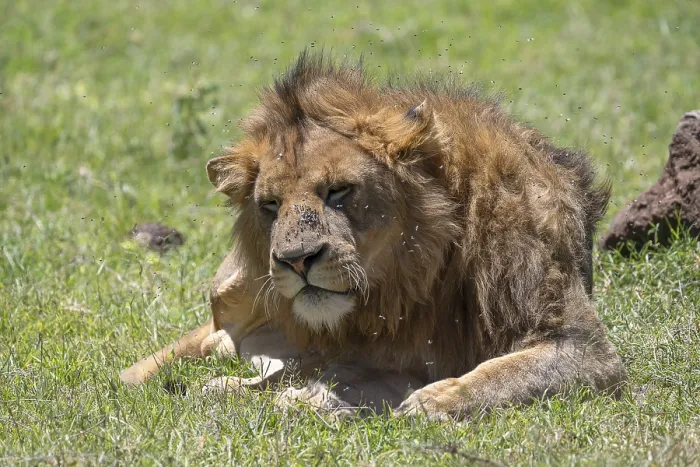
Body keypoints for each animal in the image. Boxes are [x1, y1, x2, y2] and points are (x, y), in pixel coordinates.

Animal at [120, 51, 627, 420]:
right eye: (271, 205)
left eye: (339, 191)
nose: (296, 259)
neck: (415, 276)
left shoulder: (582, 347)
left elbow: (498, 374)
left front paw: (435, 400)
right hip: (234, 289)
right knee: (218, 343)